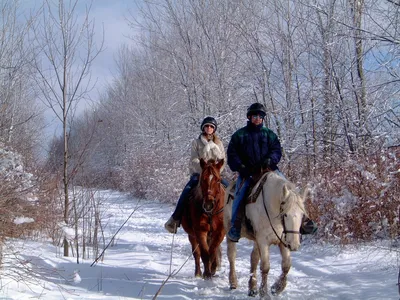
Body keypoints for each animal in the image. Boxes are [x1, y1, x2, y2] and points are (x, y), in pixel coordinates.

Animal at [222, 170, 306, 298]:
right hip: (229, 233)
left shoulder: (283, 240)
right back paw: (233, 282)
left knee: (254, 258)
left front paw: (277, 288)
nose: (294, 245)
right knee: (232, 256)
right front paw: (264, 293)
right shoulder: (263, 240)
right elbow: (265, 267)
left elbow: (286, 265)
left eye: (302, 215)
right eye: (285, 214)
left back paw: (252, 288)